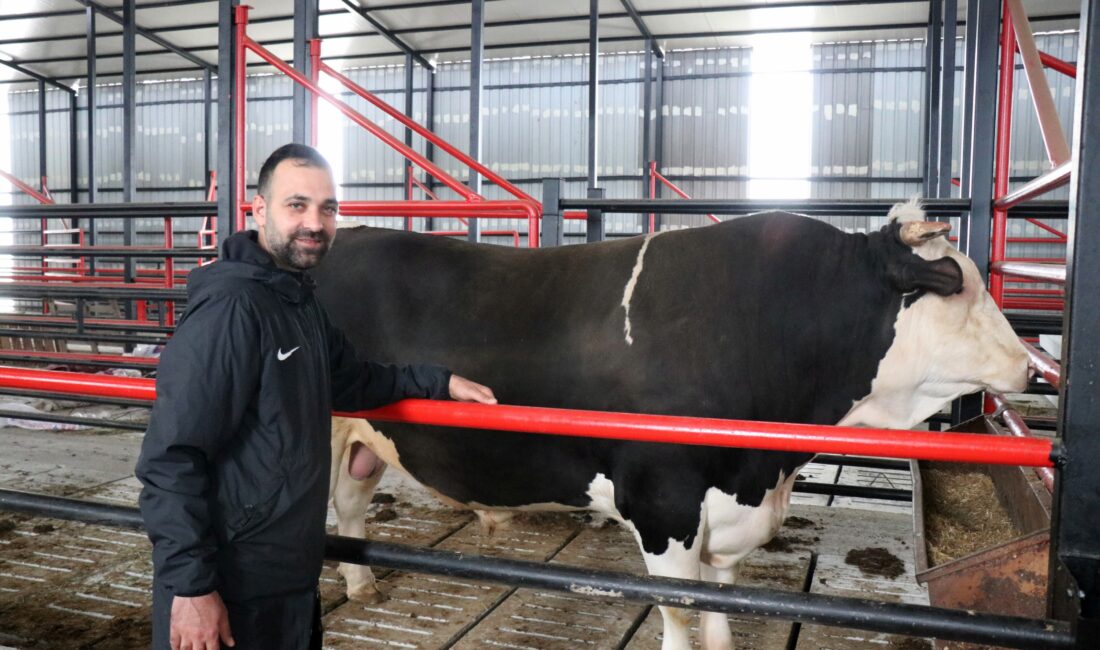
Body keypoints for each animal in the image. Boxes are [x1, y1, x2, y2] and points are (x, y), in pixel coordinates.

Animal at [314, 201, 1025, 646]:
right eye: (956, 282)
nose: (1026, 365)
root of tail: (344, 235)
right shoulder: (664, 503)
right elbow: (683, 614)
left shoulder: (728, 507)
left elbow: (721, 608)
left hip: (366, 438)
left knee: (349, 504)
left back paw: (363, 585)